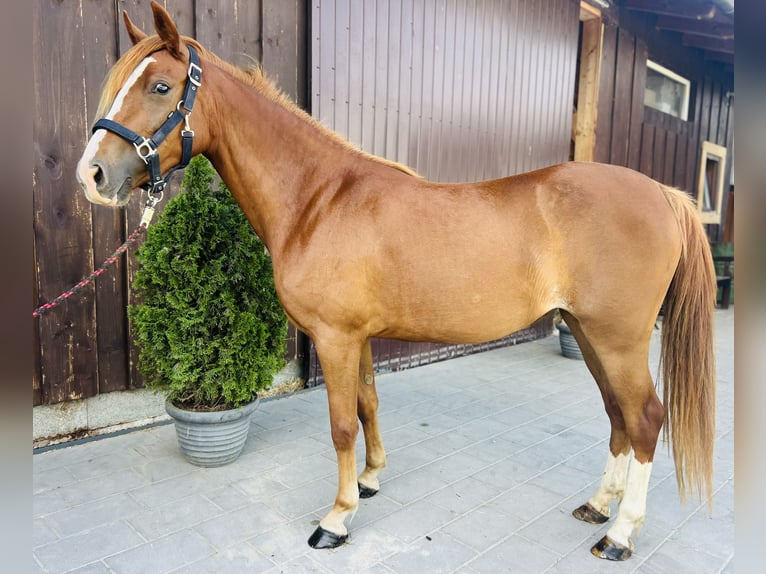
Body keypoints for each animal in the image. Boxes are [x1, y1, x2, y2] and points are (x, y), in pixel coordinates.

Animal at [76, 2, 717, 561]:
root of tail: (664, 194)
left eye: (160, 87)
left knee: (645, 418)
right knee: (617, 414)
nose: (93, 175)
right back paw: (599, 505)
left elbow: (340, 425)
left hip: (618, 338)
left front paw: (336, 519)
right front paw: (370, 481)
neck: (318, 199)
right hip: (586, 331)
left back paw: (621, 534)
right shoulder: (356, 338)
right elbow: (368, 406)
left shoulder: (335, 337)